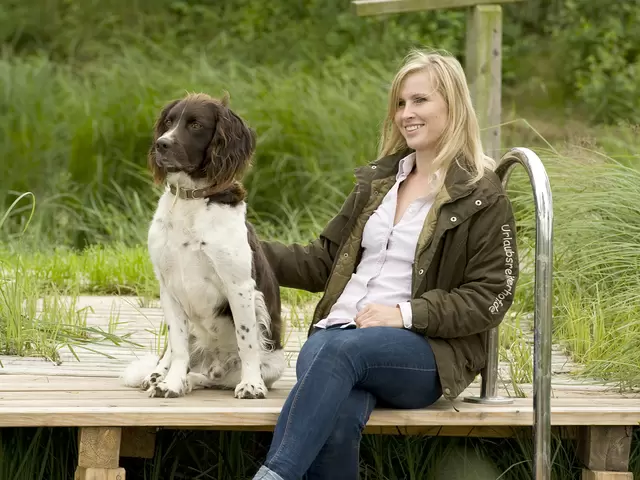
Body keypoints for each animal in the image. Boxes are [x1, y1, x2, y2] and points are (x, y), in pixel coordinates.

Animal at [122, 92, 284, 400]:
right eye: (169, 122)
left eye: (196, 125)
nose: (161, 144)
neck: (191, 201)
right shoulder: (168, 287)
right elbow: (178, 347)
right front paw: (170, 383)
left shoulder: (239, 286)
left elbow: (247, 340)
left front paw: (251, 385)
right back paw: (162, 377)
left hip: (273, 364)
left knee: (215, 376)